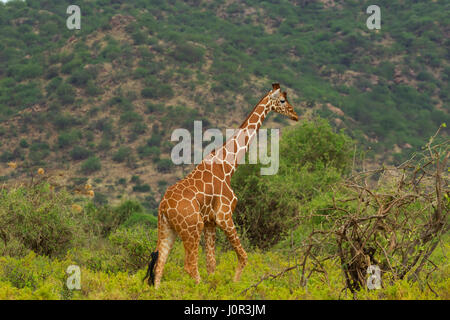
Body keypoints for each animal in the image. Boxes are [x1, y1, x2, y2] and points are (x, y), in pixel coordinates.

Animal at [144, 82, 298, 288]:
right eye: (282, 100)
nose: (295, 115)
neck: (227, 165)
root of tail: (163, 207)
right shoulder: (224, 215)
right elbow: (243, 257)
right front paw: (235, 285)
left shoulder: (210, 222)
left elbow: (212, 263)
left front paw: (216, 287)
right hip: (192, 228)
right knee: (189, 266)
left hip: (167, 229)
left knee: (160, 265)